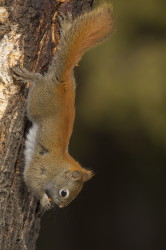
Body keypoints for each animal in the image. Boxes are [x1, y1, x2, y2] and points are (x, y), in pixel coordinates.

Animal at [13, 2, 113, 210]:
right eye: (64, 193)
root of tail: (62, 82)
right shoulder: (41, 169)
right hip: (38, 102)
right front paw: (44, 200)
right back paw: (27, 76)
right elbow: (31, 180)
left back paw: (66, 27)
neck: (60, 167)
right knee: (38, 80)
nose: (60, 206)